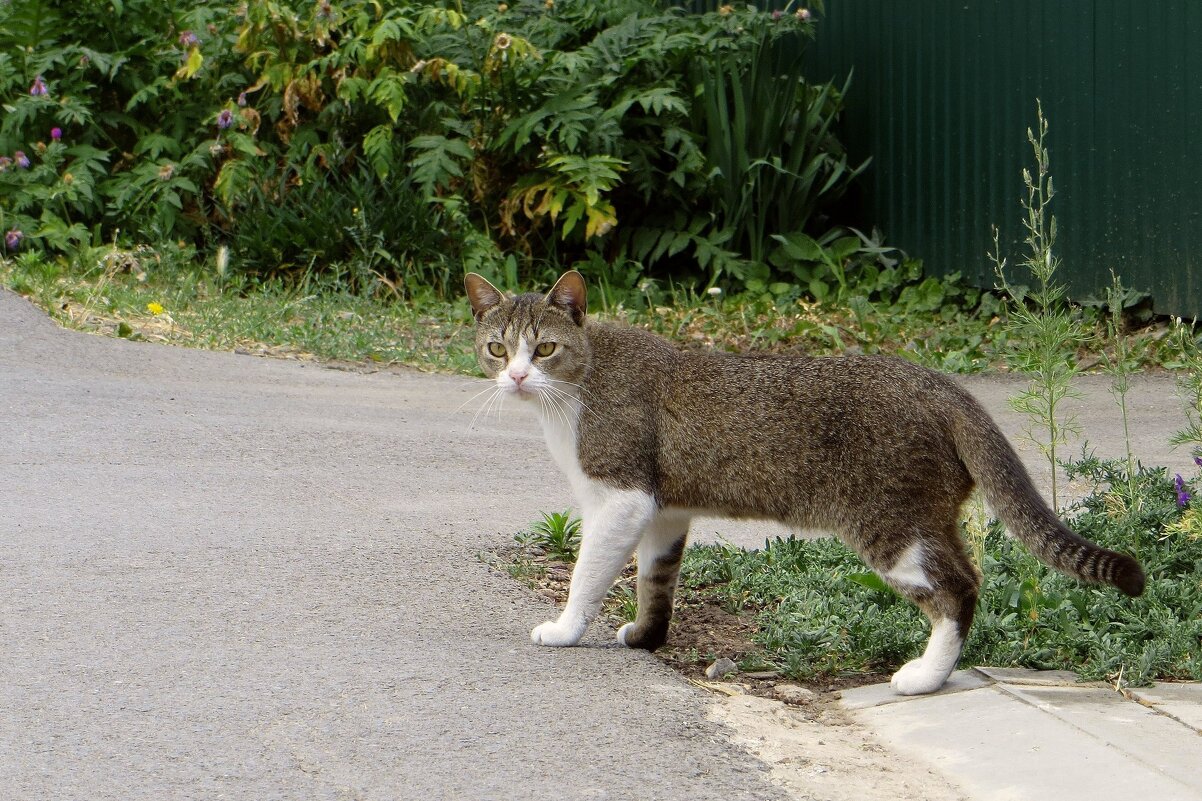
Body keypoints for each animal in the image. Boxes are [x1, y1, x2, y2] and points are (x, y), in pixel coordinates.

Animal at [461, 268, 1144, 692]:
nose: (516, 377)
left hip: (891, 526)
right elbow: (656, 583)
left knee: (960, 588)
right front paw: (647, 638)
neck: (574, 392)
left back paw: (924, 677)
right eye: (497, 349)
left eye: (544, 350)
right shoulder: (665, 510)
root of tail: (939, 383)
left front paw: (565, 629)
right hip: (927, 517)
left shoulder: (621, 498)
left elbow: (588, 574)